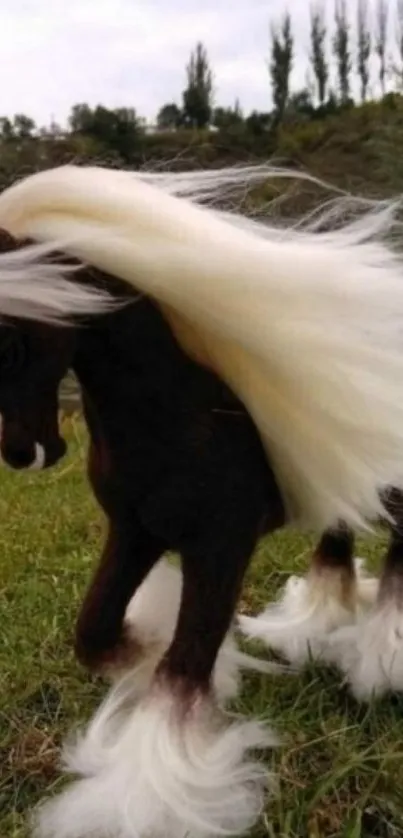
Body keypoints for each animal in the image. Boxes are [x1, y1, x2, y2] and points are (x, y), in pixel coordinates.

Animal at [0, 166, 403, 838]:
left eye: (10, 338)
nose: (25, 453)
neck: (174, 414)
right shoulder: (134, 531)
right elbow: (96, 633)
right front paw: (169, 656)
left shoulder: (221, 546)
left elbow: (181, 672)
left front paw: (150, 798)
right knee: (339, 536)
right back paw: (315, 627)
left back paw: (383, 658)